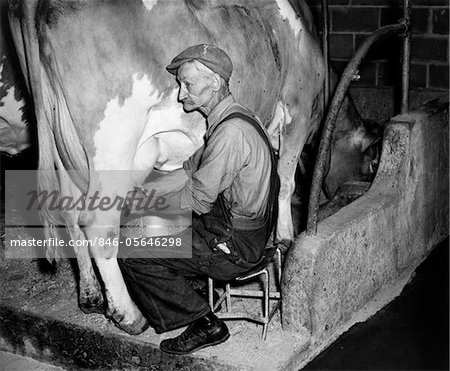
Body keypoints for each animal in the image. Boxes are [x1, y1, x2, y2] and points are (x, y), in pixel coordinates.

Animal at [7, 0, 380, 336]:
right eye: (369, 165)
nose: (348, 193)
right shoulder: (296, 112)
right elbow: (284, 181)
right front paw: (285, 238)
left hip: (62, 148)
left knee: (69, 216)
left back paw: (90, 295)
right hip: (113, 145)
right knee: (98, 226)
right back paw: (129, 316)